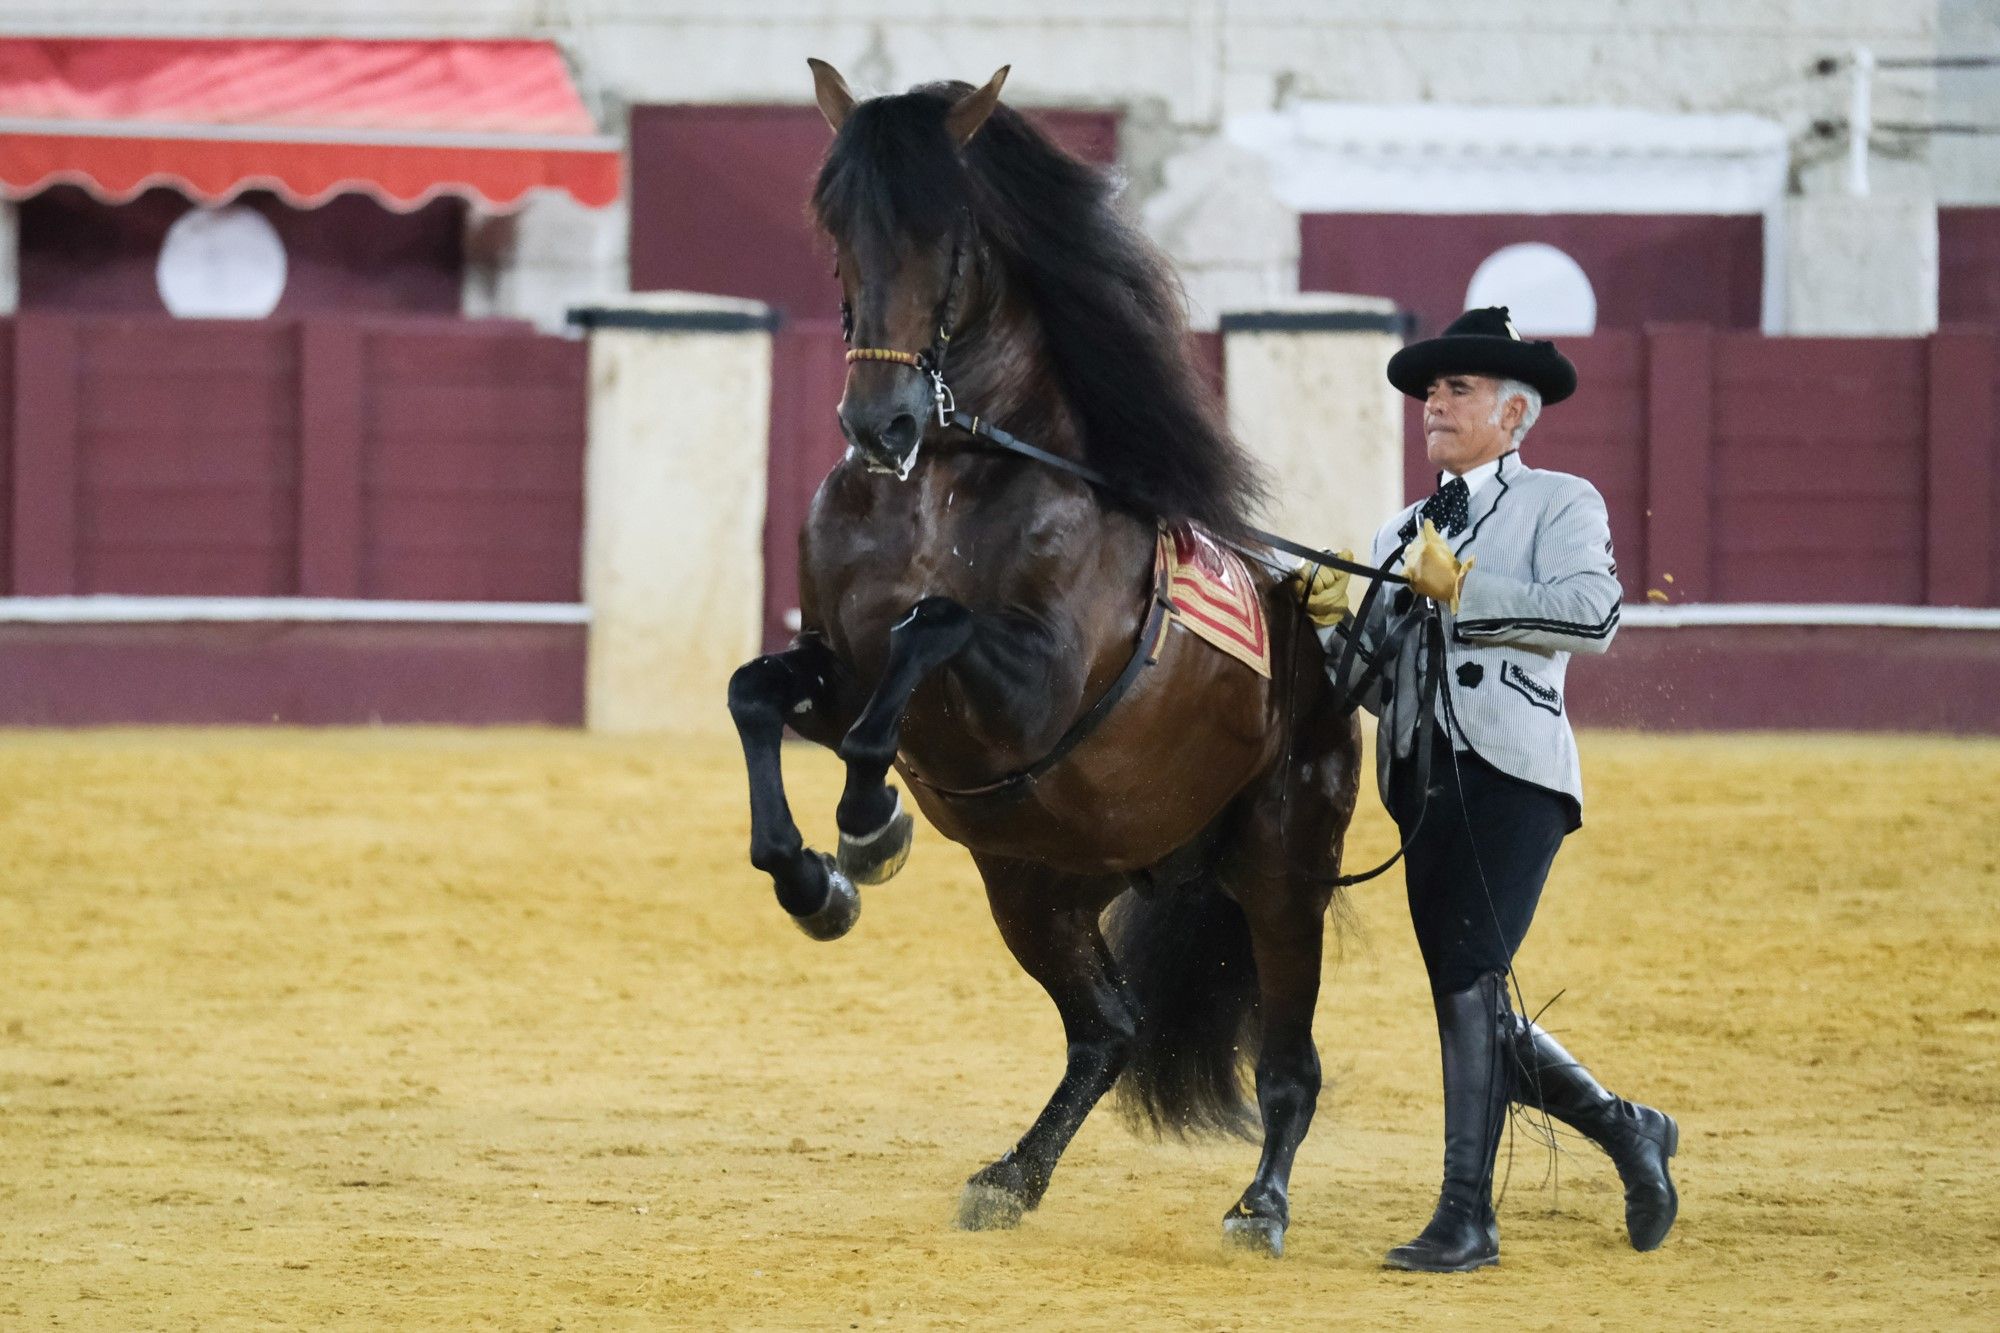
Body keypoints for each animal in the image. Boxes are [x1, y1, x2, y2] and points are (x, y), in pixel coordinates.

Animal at [728, 57, 1368, 1248]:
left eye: (947, 230)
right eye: (836, 223)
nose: (878, 424)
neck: (938, 484)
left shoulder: (1026, 691)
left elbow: (929, 630)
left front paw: (867, 826)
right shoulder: (832, 667)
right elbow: (756, 695)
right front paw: (816, 879)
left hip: (1279, 869)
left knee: (1289, 1063)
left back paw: (1257, 1206)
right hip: (1039, 886)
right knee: (1107, 1026)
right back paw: (1011, 1176)